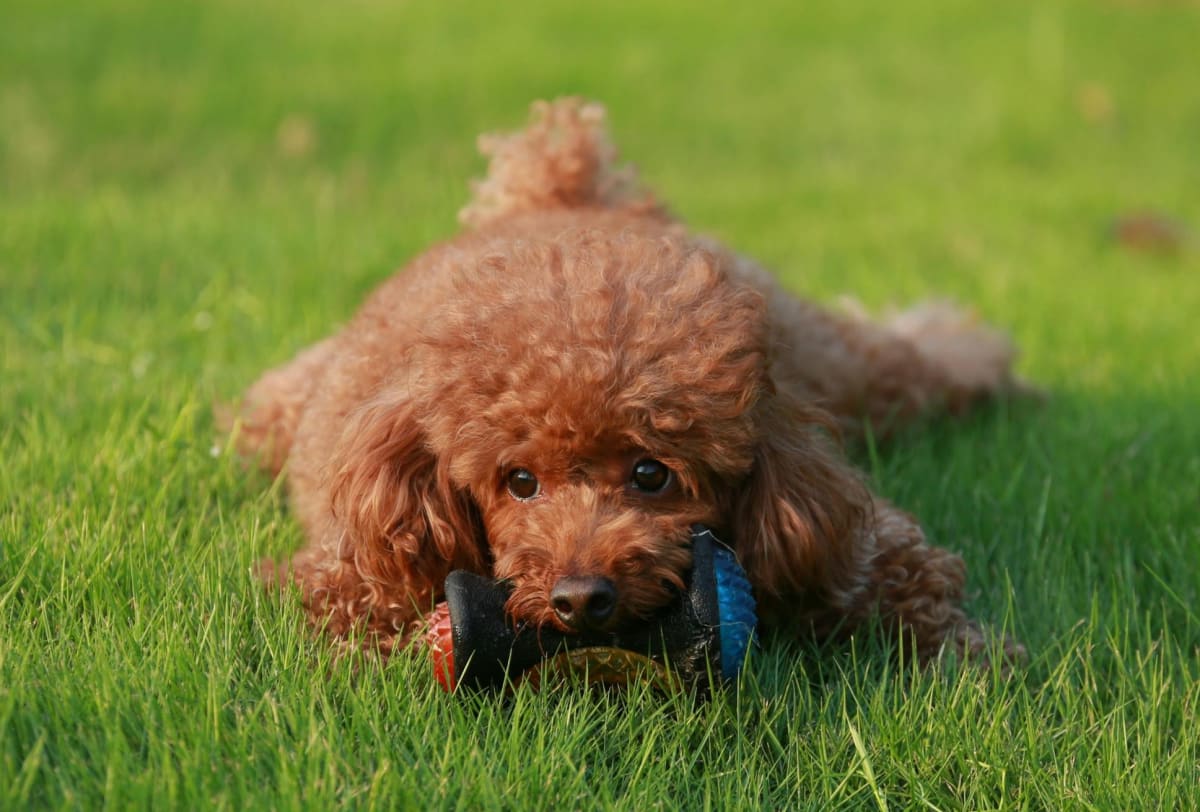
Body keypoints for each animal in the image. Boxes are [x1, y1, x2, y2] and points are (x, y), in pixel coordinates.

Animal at [231, 96, 1022, 666]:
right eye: (519, 482)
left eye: (651, 474)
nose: (581, 599)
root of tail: (560, 192)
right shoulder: (352, 562)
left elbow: (895, 568)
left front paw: (963, 652)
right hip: (271, 415)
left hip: (824, 348)